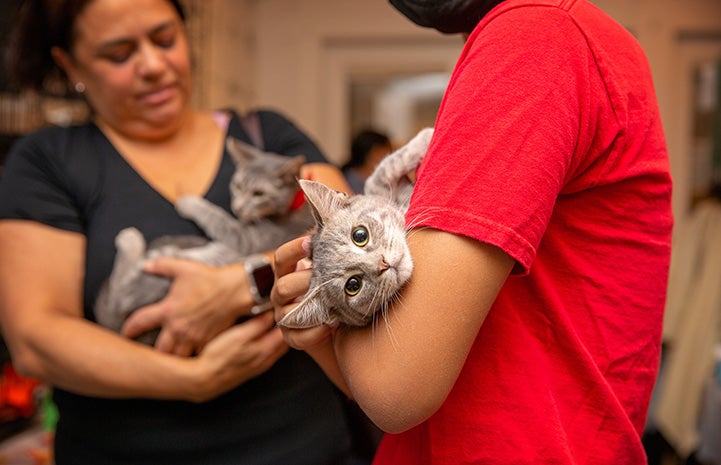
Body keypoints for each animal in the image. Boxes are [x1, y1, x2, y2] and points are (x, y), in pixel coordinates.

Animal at [95, 136, 312, 342]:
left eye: (258, 193)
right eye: (238, 185)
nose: (238, 207)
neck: (293, 207)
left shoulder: (248, 240)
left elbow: (216, 217)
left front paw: (188, 202)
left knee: (121, 294)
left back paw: (130, 241)